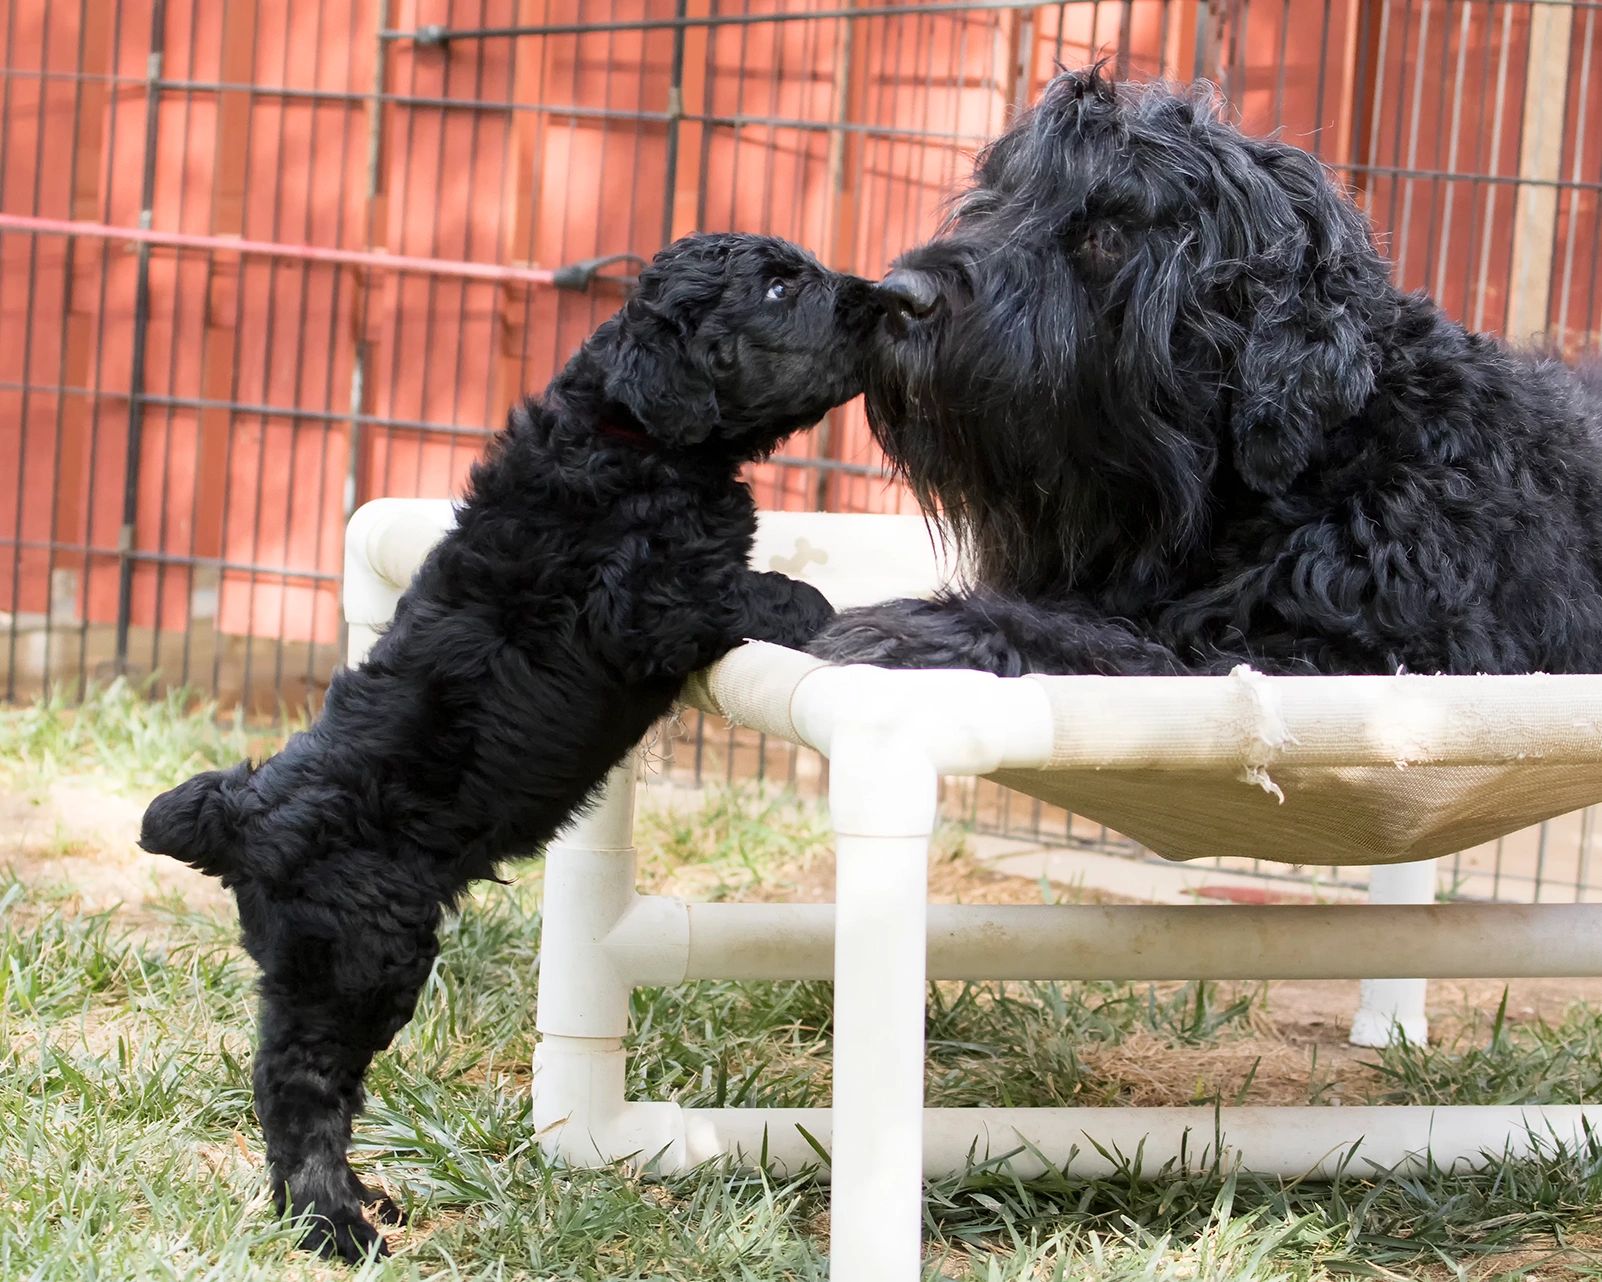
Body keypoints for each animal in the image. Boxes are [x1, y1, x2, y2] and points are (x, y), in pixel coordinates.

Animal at [140, 232, 877, 1262]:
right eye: (778, 287)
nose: (885, 301)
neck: (624, 435)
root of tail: (243, 815)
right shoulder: (647, 600)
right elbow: (756, 588)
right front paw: (819, 607)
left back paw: (361, 1201)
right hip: (361, 955)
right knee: (301, 1083)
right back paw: (334, 1223)